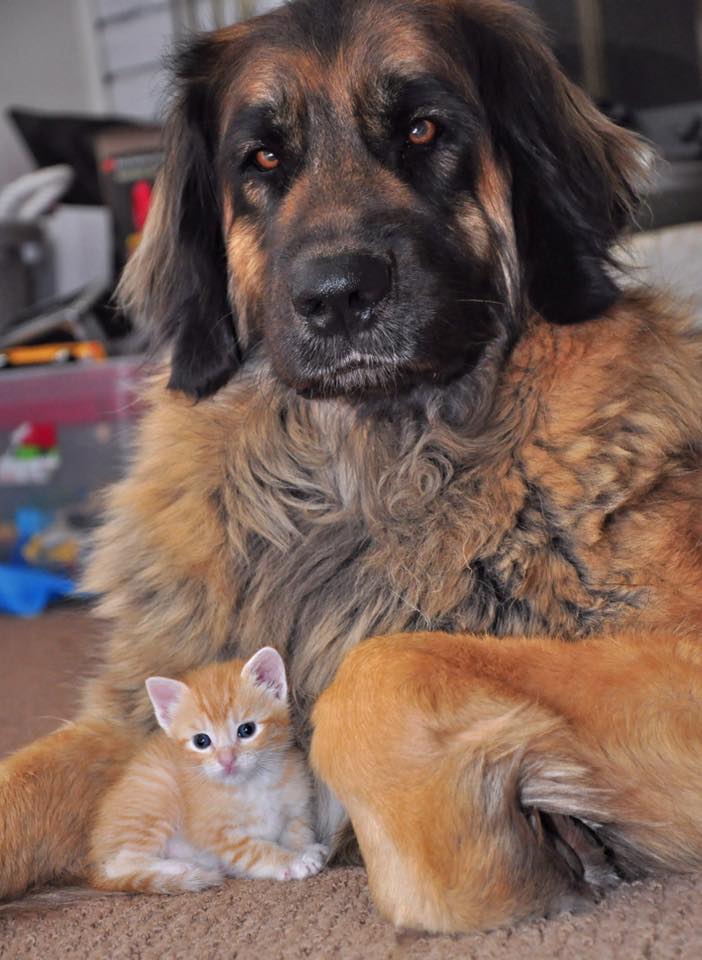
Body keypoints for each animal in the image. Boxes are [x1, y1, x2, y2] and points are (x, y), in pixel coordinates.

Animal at [90, 648, 328, 896]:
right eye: (201, 741)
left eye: (247, 730)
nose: (226, 760)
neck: (253, 784)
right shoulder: (222, 836)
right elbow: (257, 850)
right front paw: (292, 861)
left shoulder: (297, 808)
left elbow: (298, 831)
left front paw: (306, 849)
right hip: (156, 799)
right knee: (119, 863)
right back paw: (179, 867)